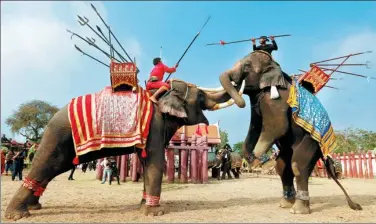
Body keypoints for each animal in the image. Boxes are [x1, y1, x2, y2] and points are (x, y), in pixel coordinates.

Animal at [4, 79, 244, 220]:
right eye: (201, 96)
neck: (162, 96)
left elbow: (148, 163)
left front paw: (143, 206)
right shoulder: (154, 126)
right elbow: (156, 162)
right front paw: (156, 212)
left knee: (51, 169)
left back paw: (34, 207)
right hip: (60, 136)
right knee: (46, 165)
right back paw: (17, 215)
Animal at [217, 50, 362, 214]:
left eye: (247, 66)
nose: (240, 102)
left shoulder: (276, 100)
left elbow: (277, 127)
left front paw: (259, 162)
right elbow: (255, 127)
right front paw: (254, 160)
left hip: (312, 142)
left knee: (298, 165)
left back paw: (297, 210)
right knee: (282, 167)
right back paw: (285, 204)